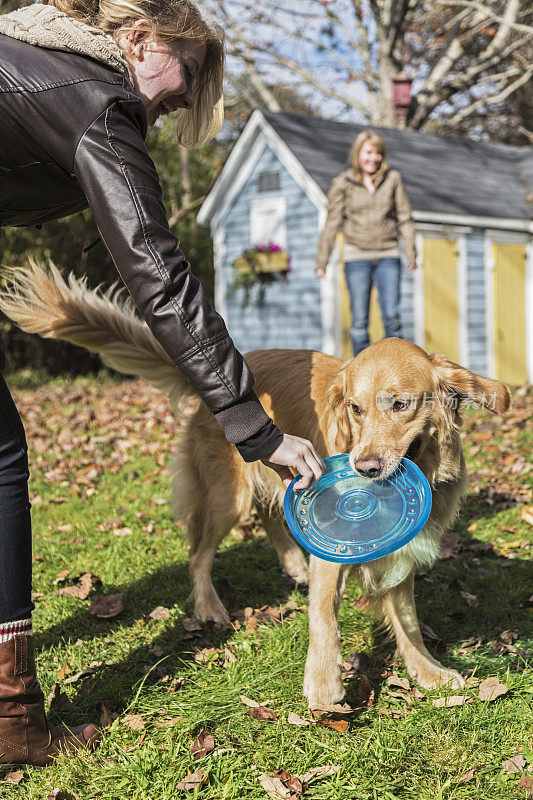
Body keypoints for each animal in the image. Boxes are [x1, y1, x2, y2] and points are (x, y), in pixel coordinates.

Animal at [0, 266, 510, 708]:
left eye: (400, 405)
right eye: (355, 408)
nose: (364, 468)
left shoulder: (400, 551)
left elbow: (407, 619)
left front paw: (426, 670)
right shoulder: (334, 549)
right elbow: (323, 614)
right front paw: (323, 683)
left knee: (271, 514)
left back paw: (293, 565)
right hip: (228, 495)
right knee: (199, 552)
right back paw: (210, 605)